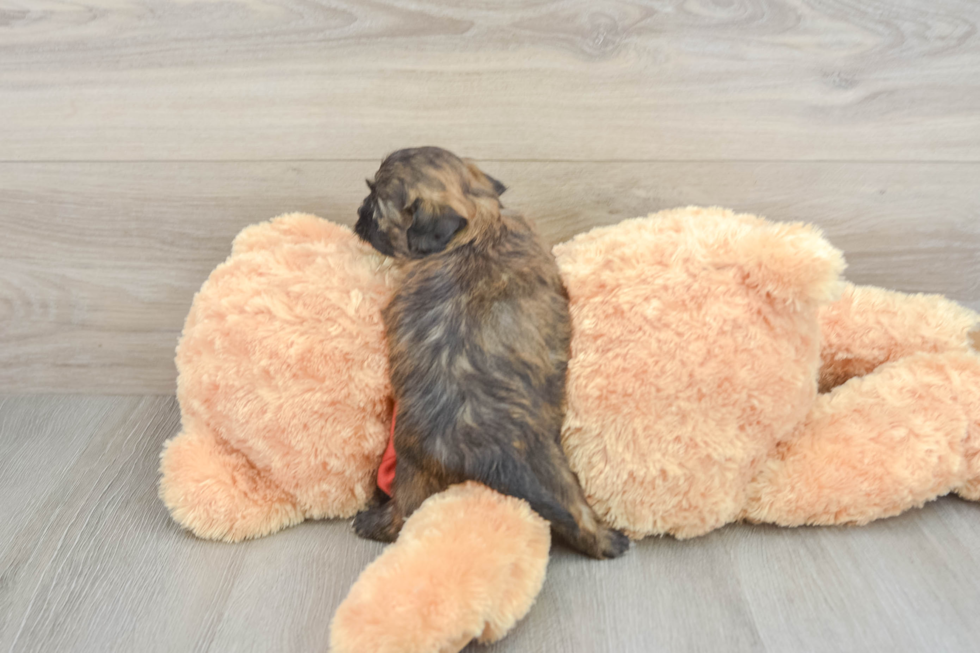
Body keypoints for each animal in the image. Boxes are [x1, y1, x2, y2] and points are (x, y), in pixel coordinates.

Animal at [352, 145, 628, 556]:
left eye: (374, 202)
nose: (359, 211)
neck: (476, 225)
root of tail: (477, 454)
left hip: (418, 471)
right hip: (551, 467)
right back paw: (611, 540)